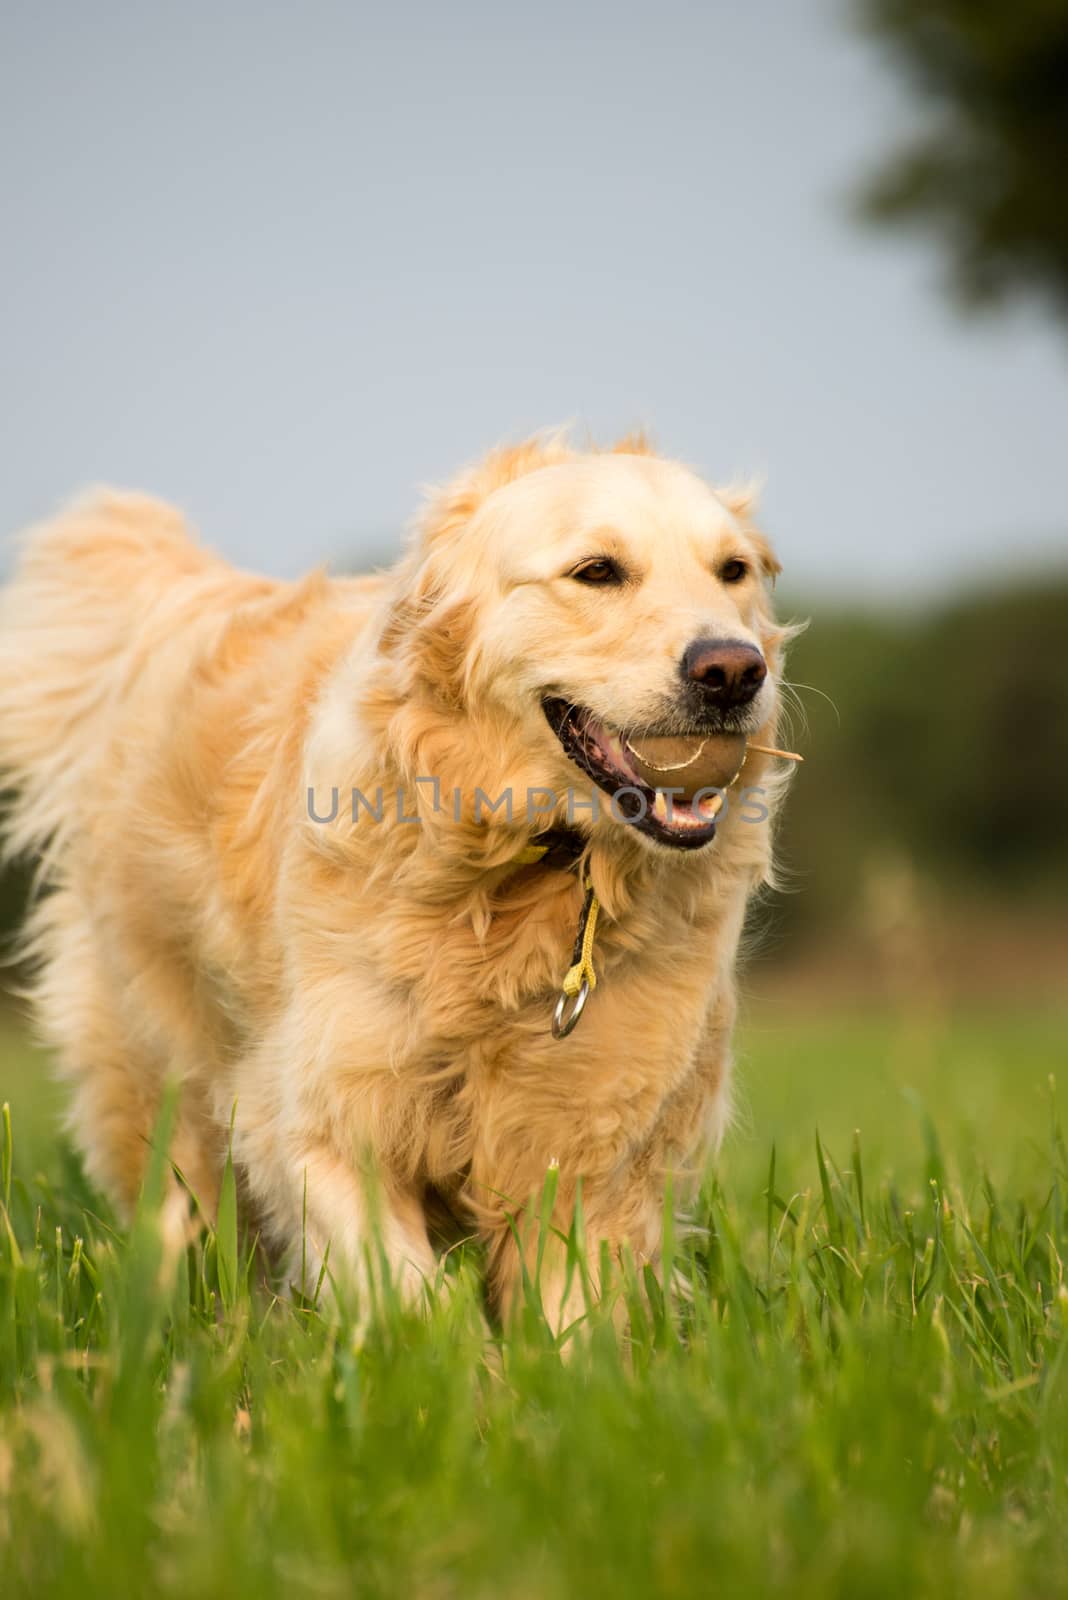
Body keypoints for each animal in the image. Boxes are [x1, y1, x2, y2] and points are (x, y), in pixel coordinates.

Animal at [0, 435, 793, 1324]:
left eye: (733, 571)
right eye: (596, 571)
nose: (733, 671)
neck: (527, 875)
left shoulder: (595, 1145)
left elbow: (572, 1321)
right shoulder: (325, 1119)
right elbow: (413, 1299)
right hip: (157, 1071)